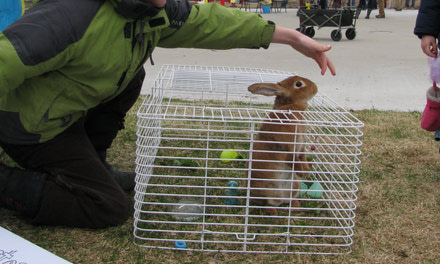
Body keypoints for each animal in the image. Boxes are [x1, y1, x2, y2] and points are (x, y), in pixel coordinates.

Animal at [248, 75, 316, 216]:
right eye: (299, 84)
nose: (315, 87)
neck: (290, 107)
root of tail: (280, 199)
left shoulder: (301, 145)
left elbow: (302, 158)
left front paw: (306, 173)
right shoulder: (286, 148)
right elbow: (294, 160)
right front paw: (302, 174)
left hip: (294, 188)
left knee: (288, 201)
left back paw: (295, 206)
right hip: (263, 192)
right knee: (265, 203)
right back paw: (273, 212)